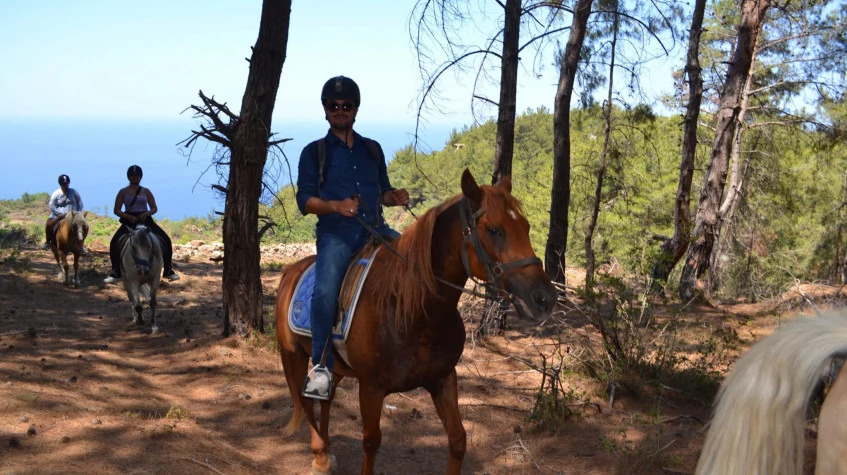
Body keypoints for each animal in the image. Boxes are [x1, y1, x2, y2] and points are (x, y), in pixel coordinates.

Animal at [275, 169, 557, 474]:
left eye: (526, 227)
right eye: (494, 230)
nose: (544, 297)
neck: (413, 311)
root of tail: (290, 272)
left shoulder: (443, 378)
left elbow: (458, 439)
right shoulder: (371, 388)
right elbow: (371, 443)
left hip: (334, 365)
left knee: (325, 400)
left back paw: (327, 451)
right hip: (294, 355)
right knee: (305, 399)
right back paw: (320, 455)